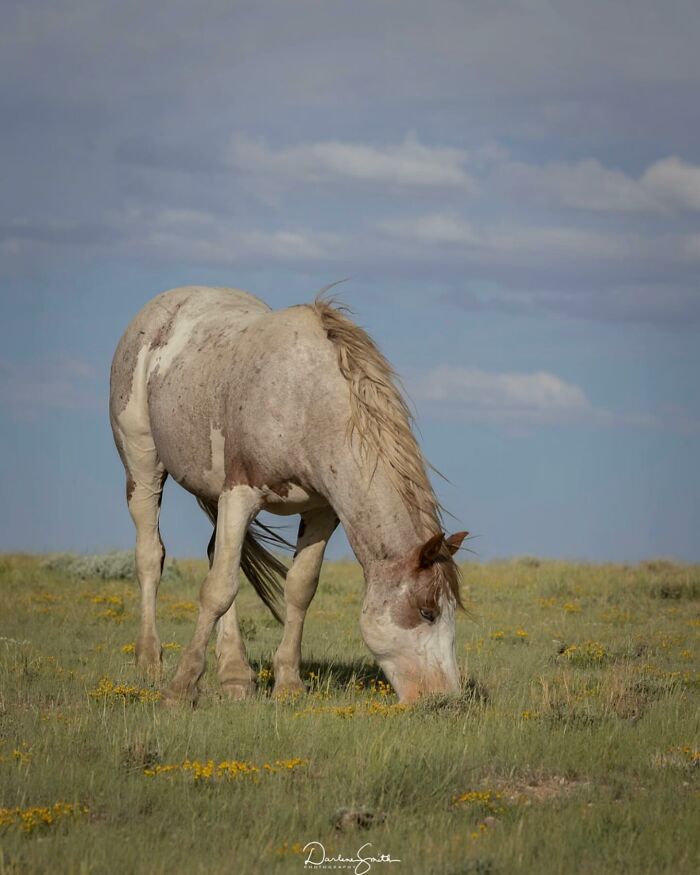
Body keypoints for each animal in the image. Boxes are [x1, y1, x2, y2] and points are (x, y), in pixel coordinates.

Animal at [109, 286, 467, 704]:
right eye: (426, 611)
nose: (445, 698)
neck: (306, 401)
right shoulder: (241, 495)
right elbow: (218, 590)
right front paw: (182, 687)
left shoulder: (321, 511)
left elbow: (299, 589)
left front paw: (289, 683)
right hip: (143, 467)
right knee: (151, 555)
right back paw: (150, 660)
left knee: (220, 558)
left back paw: (235, 675)